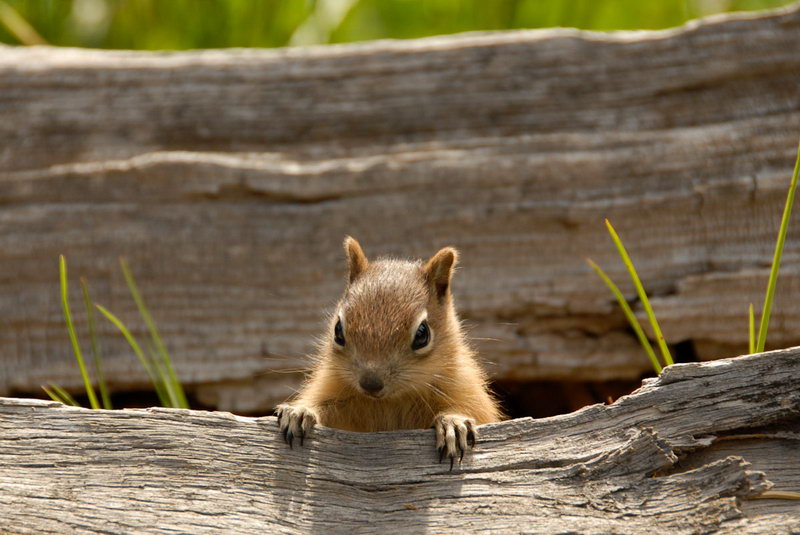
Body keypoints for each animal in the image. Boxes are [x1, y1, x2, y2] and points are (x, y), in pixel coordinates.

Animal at [275, 237, 502, 469]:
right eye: (338, 330)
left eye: (422, 334)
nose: (370, 384)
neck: (393, 399)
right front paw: (300, 412)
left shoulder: (464, 387)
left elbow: (474, 411)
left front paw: (453, 422)